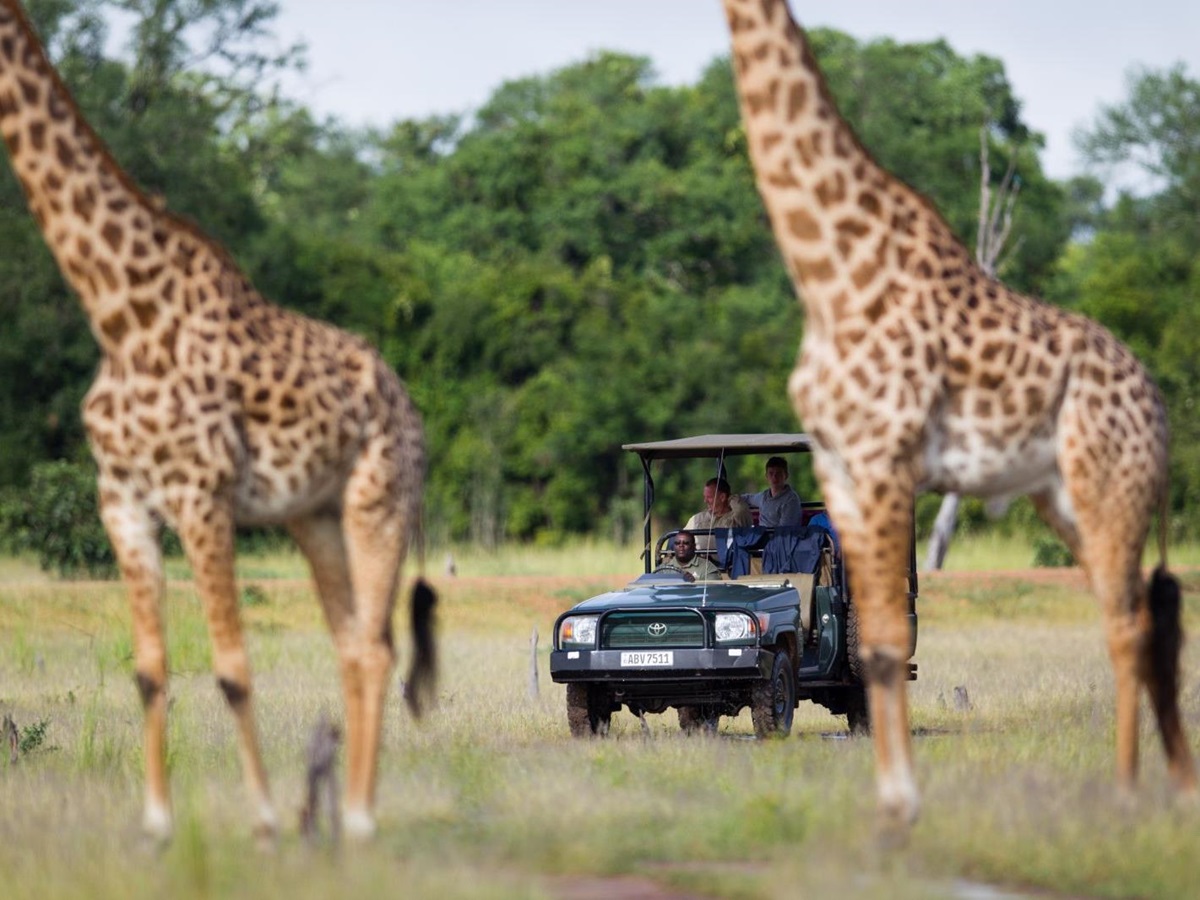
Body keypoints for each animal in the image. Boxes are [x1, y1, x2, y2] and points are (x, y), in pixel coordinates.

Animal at [0, 0, 436, 842]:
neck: (118, 313)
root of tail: (407, 402)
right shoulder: (121, 502)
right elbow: (148, 670)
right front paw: (157, 827)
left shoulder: (201, 495)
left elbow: (232, 669)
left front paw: (262, 821)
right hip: (314, 518)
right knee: (352, 645)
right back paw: (347, 817)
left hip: (380, 503)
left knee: (375, 645)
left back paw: (361, 818)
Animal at [719, 0, 1196, 836]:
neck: (829, 273)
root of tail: (1157, 402)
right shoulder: (841, 468)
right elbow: (874, 644)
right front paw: (890, 805)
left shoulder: (883, 455)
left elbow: (880, 644)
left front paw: (900, 809)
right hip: (1068, 498)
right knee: (1145, 617)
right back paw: (1177, 786)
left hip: (1109, 489)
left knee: (1129, 624)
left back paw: (1127, 793)